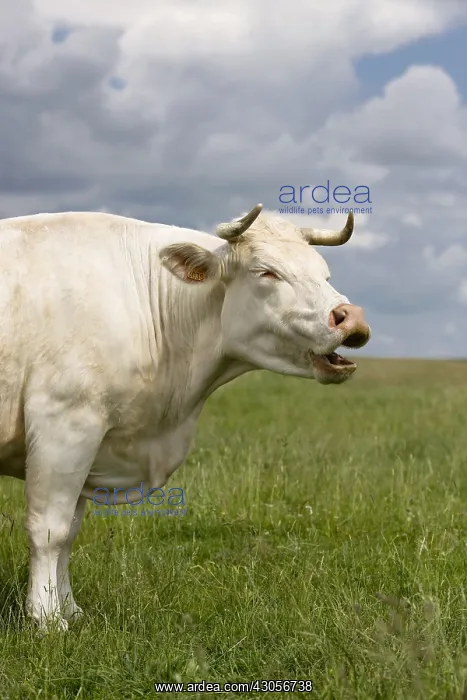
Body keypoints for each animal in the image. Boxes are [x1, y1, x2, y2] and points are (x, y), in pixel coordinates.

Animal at [0, 204, 370, 630]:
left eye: (324, 273)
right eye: (266, 272)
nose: (351, 317)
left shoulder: (88, 442)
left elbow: (71, 529)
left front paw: (70, 610)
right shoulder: (64, 424)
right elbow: (51, 530)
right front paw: (47, 620)